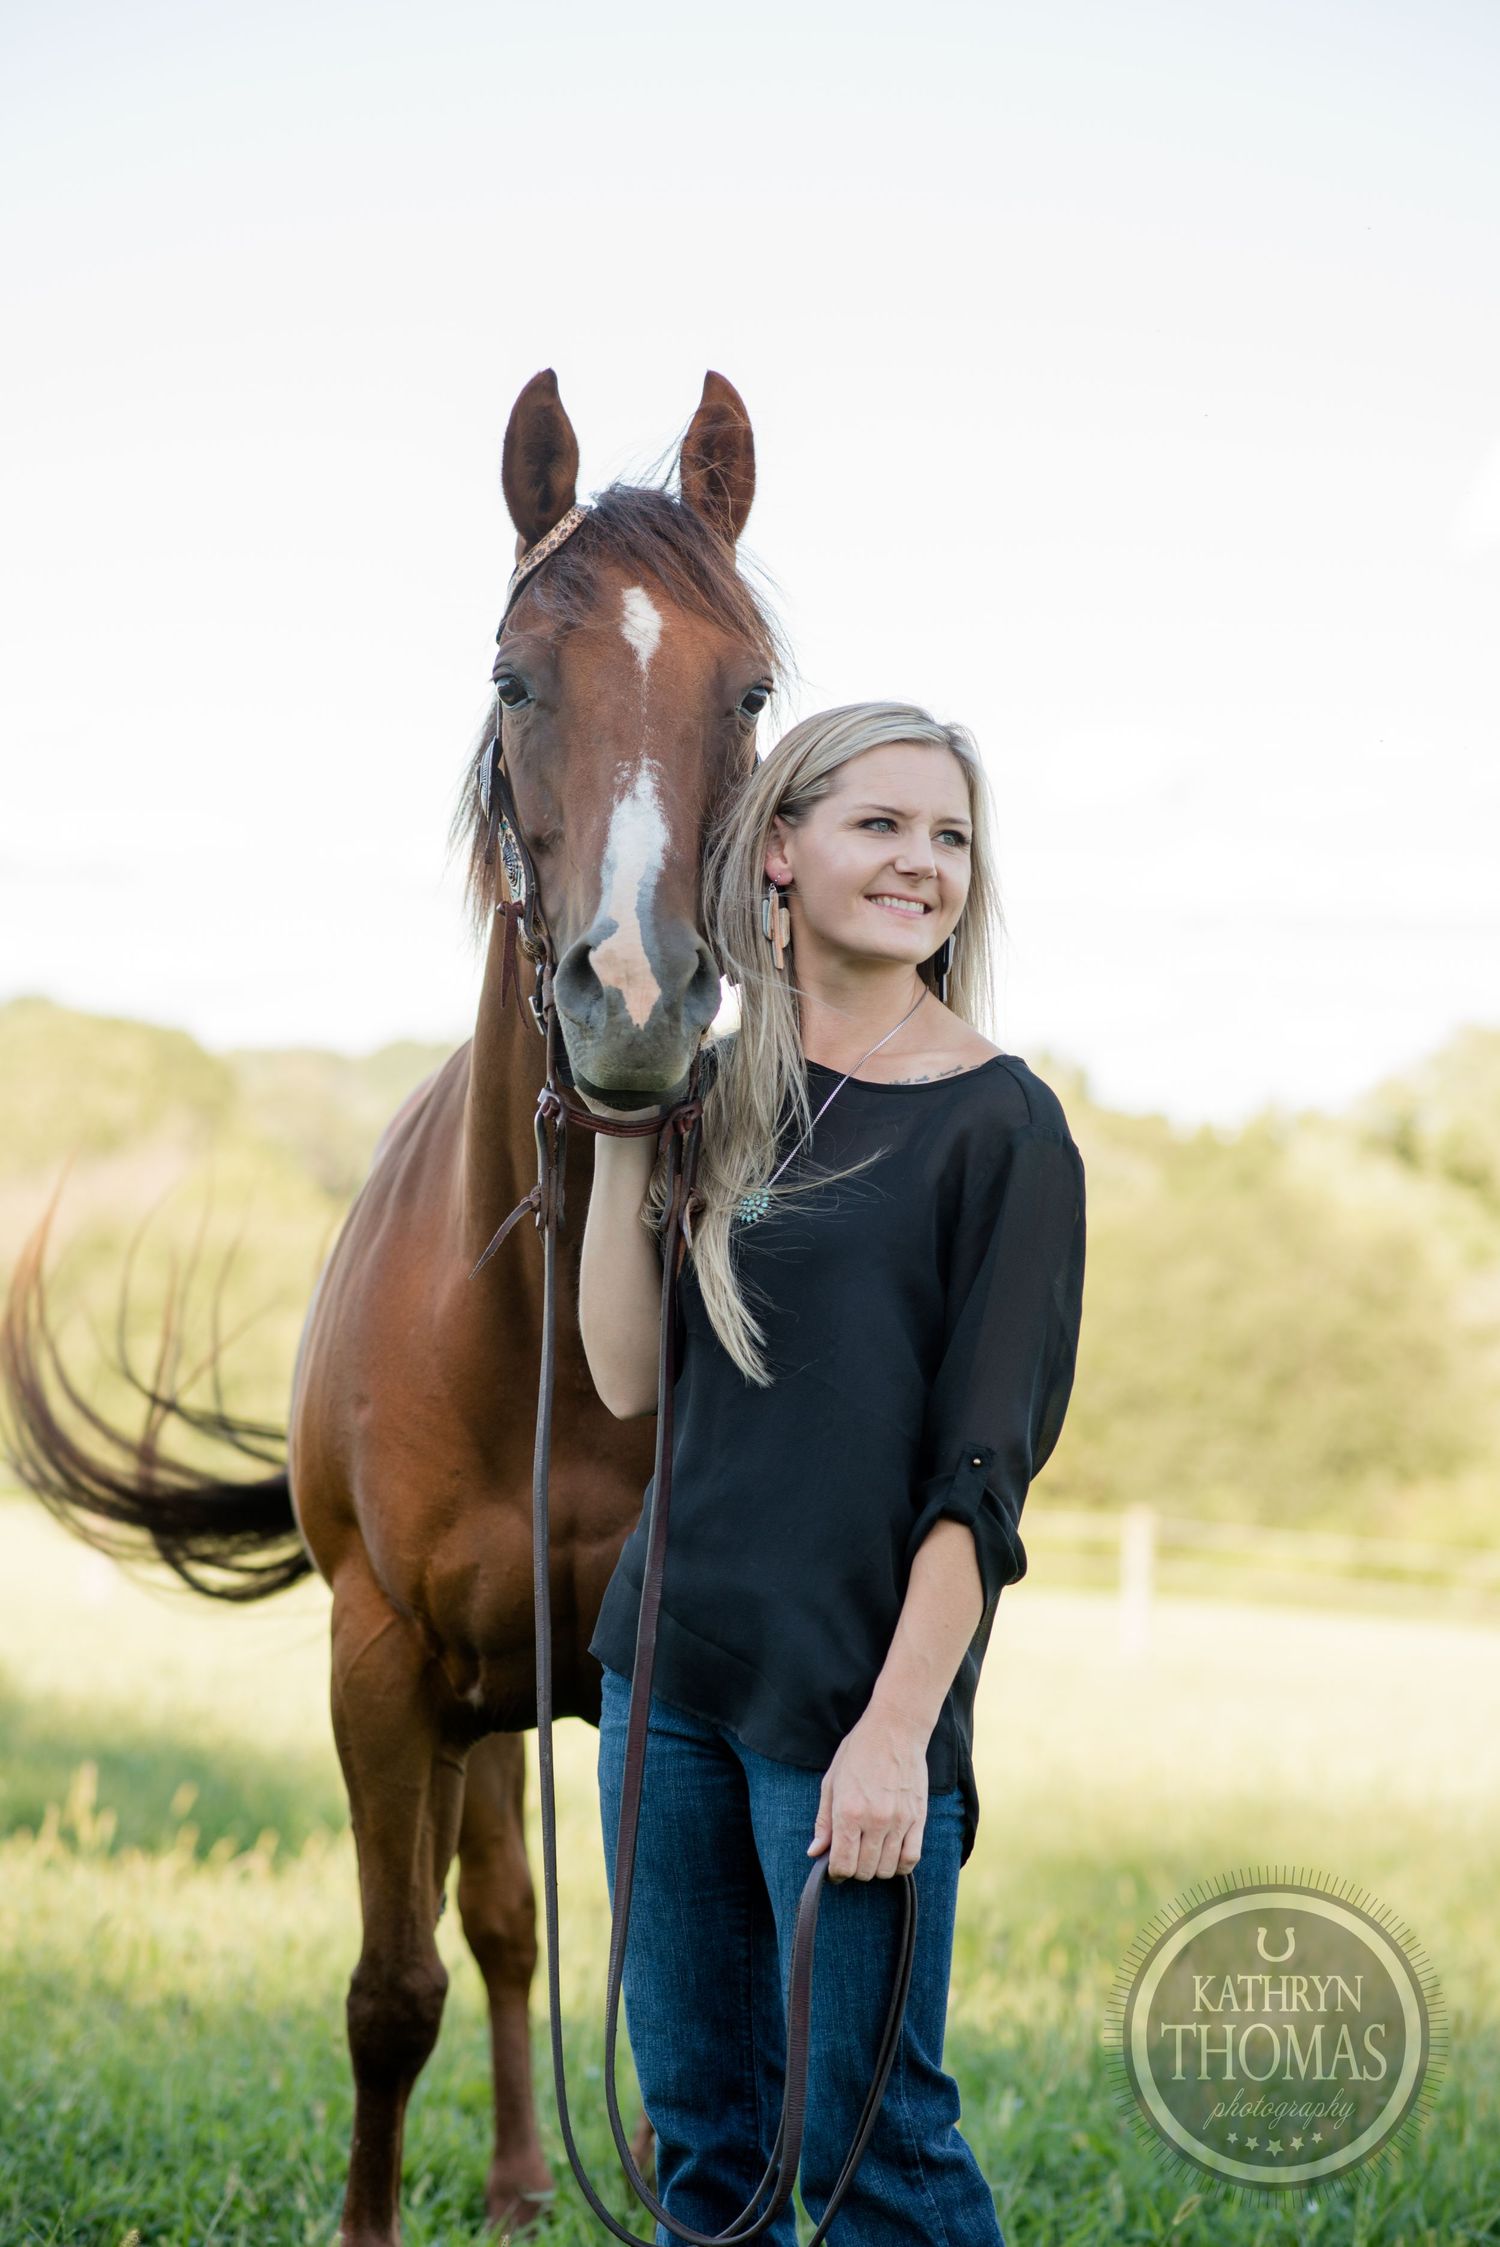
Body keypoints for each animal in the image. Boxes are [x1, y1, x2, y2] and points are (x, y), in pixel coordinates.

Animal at [0, 366, 784, 2246]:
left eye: (752, 690)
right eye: (513, 676)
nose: (634, 999)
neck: (540, 1322)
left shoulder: (644, 1685)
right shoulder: (381, 1668)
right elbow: (391, 1988)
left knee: (512, 1912)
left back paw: (522, 2176)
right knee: (483, 1914)